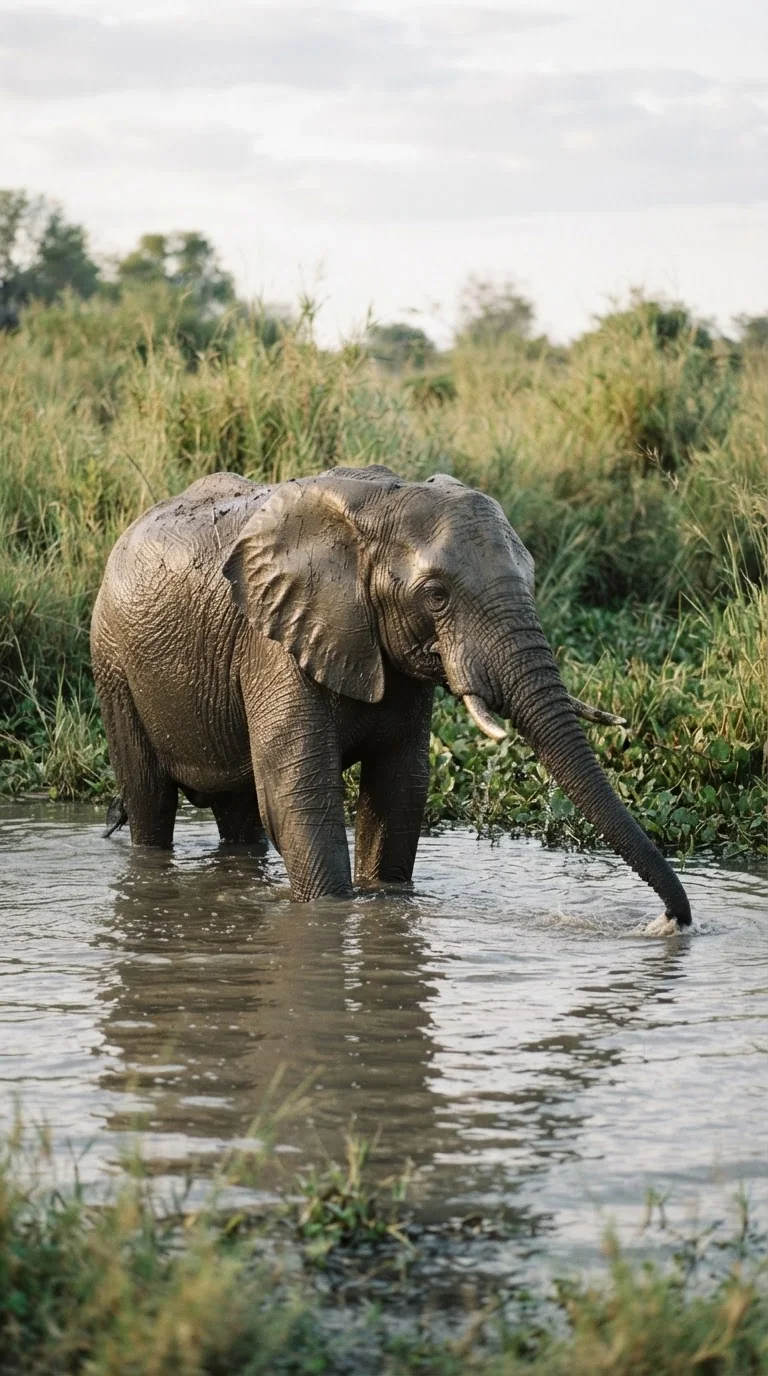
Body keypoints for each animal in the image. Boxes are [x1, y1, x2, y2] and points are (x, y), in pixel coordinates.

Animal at [91, 464, 691, 925]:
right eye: (436, 595)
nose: (669, 921)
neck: (381, 502)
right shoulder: (273, 644)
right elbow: (298, 795)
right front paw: (332, 916)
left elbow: (399, 789)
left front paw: (387, 905)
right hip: (112, 663)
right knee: (150, 801)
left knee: (240, 814)